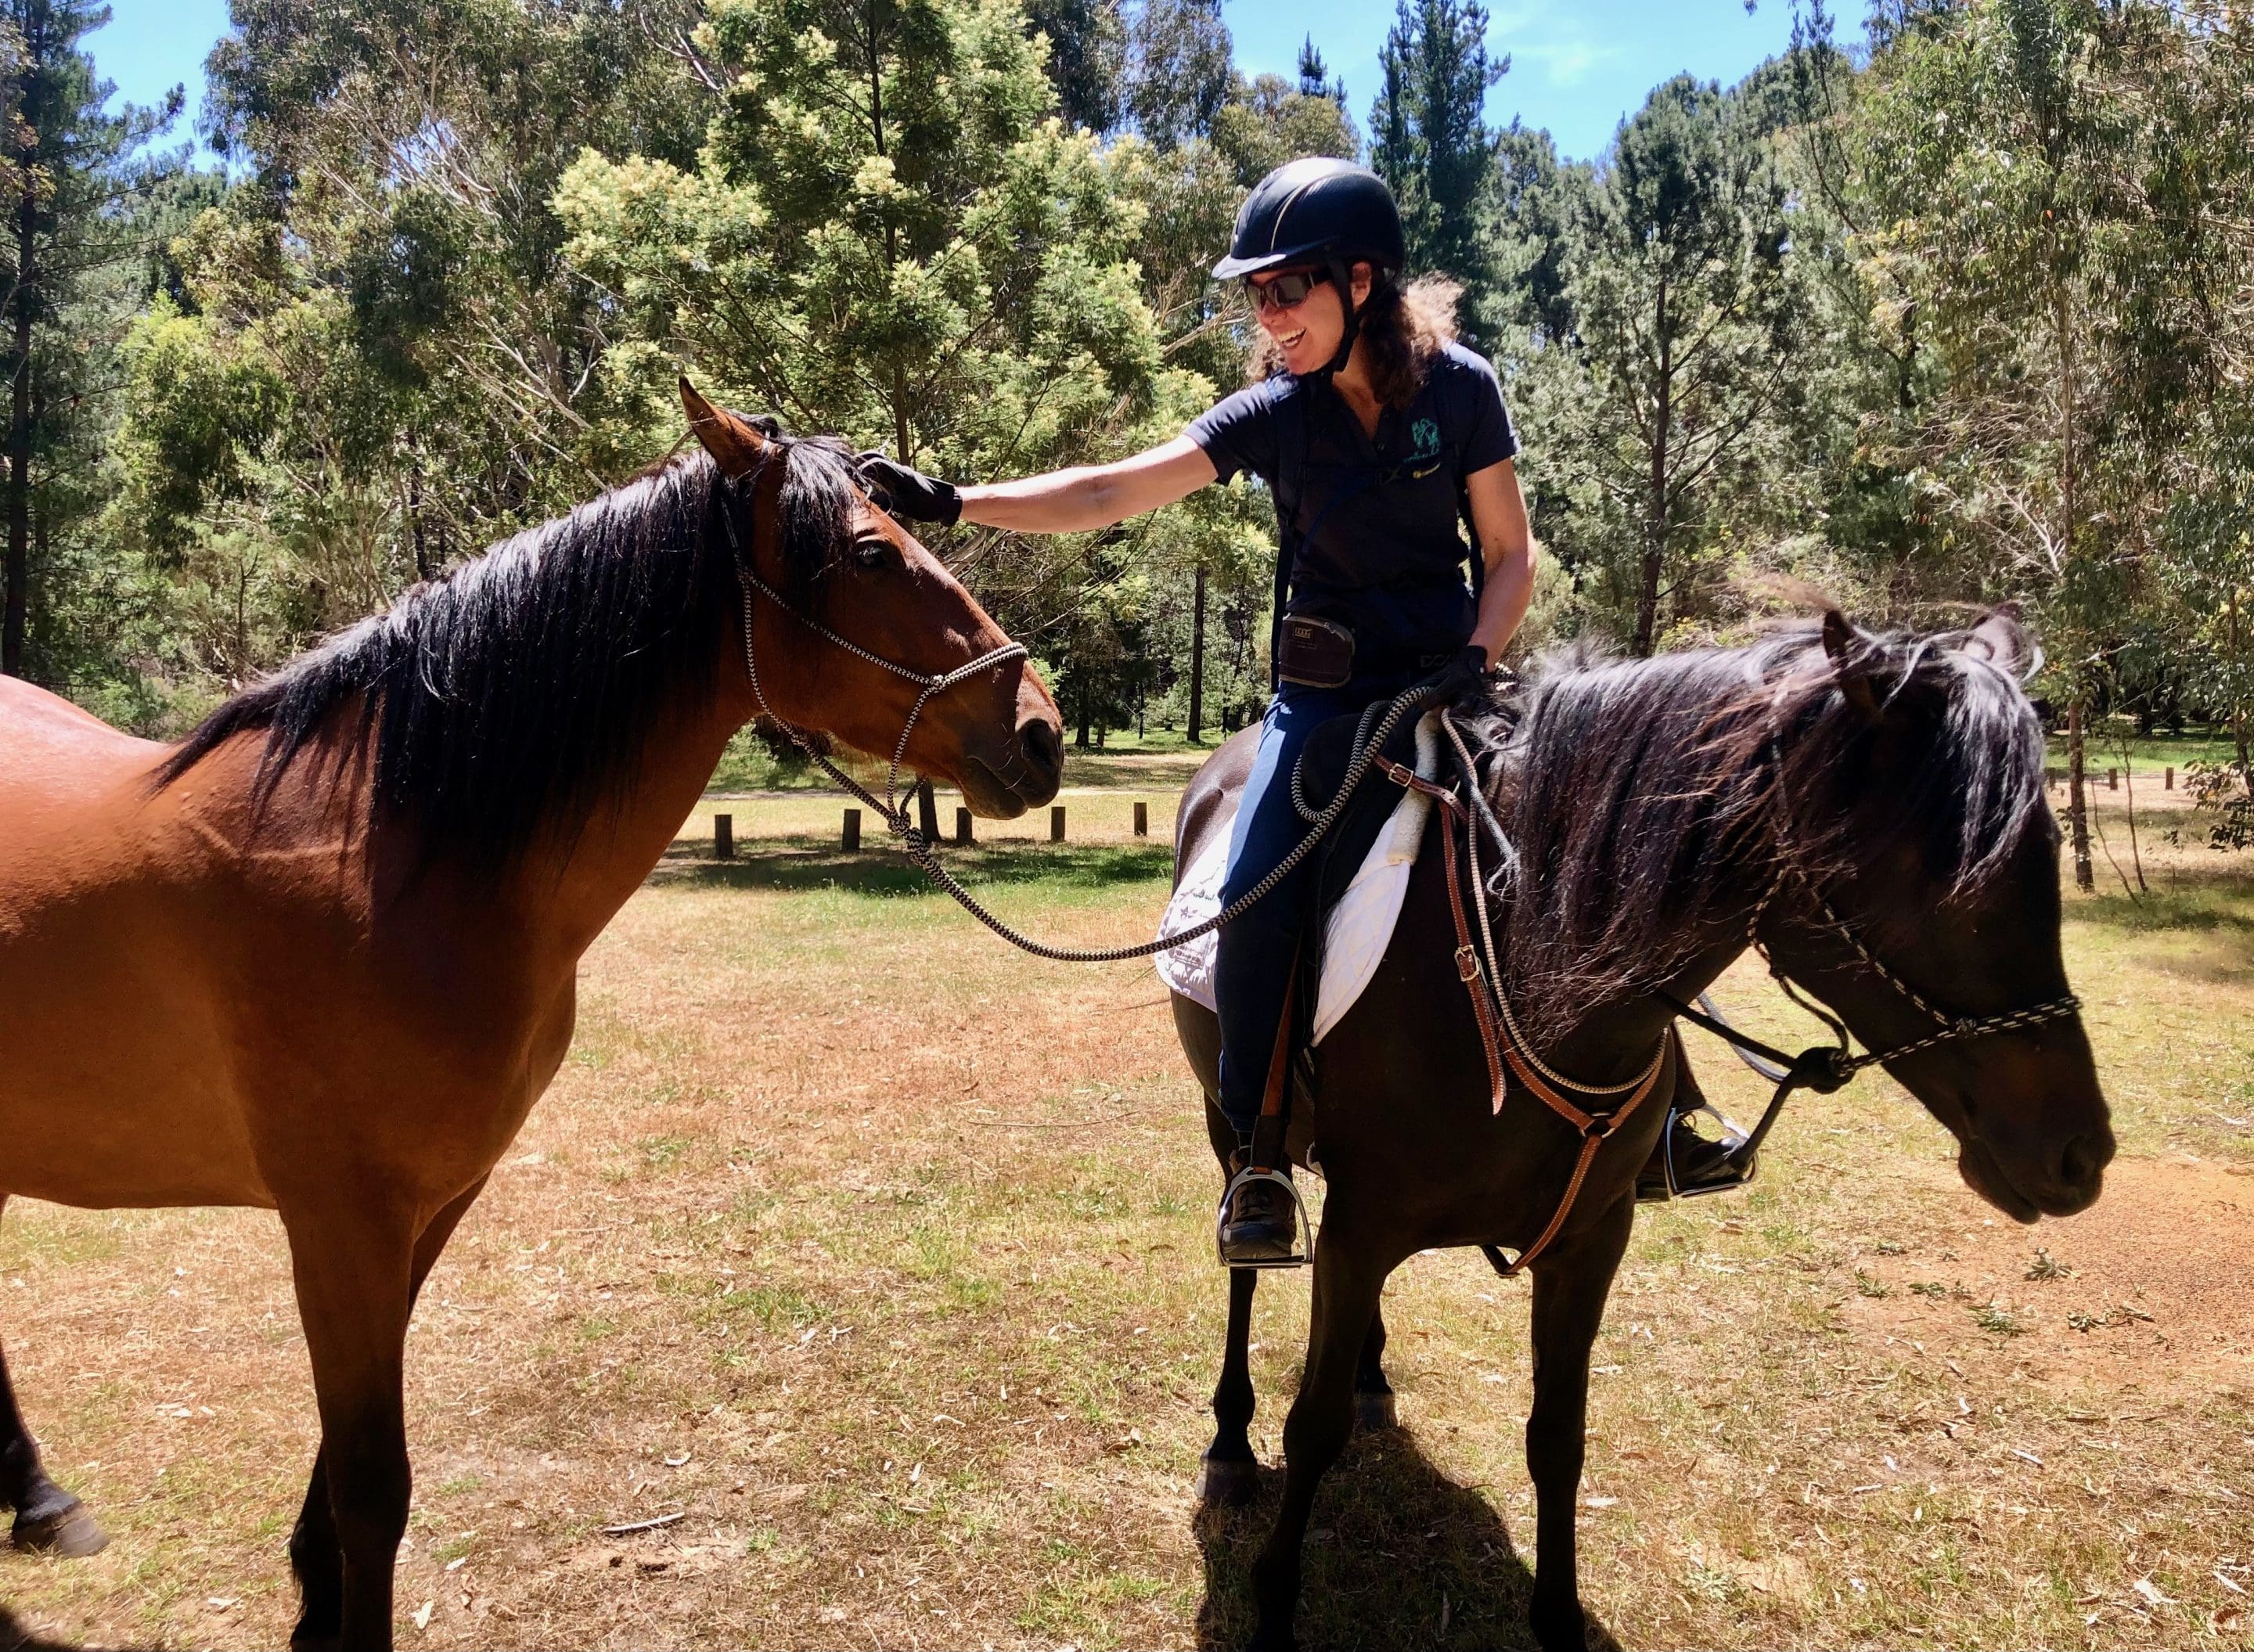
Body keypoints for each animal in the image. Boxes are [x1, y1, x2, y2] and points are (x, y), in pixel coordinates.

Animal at [0, 383, 1059, 1650]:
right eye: (868, 552)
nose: (1042, 729)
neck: (385, 853)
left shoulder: (423, 1208)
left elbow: (342, 1464)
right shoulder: (342, 1219)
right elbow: (373, 1481)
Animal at [1181, 613, 2109, 1650]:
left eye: (2051, 848)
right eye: (1951, 880)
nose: (2080, 1152)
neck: (1509, 971)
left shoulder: (1591, 1238)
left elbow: (1558, 1436)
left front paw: (1557, 1616)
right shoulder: (1357, 1227)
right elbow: (1312, 1426)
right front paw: (1272, 1602)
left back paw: (1375, 1379)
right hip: (1236, 1137)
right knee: (1246, 1273)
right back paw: (1230, 1438)